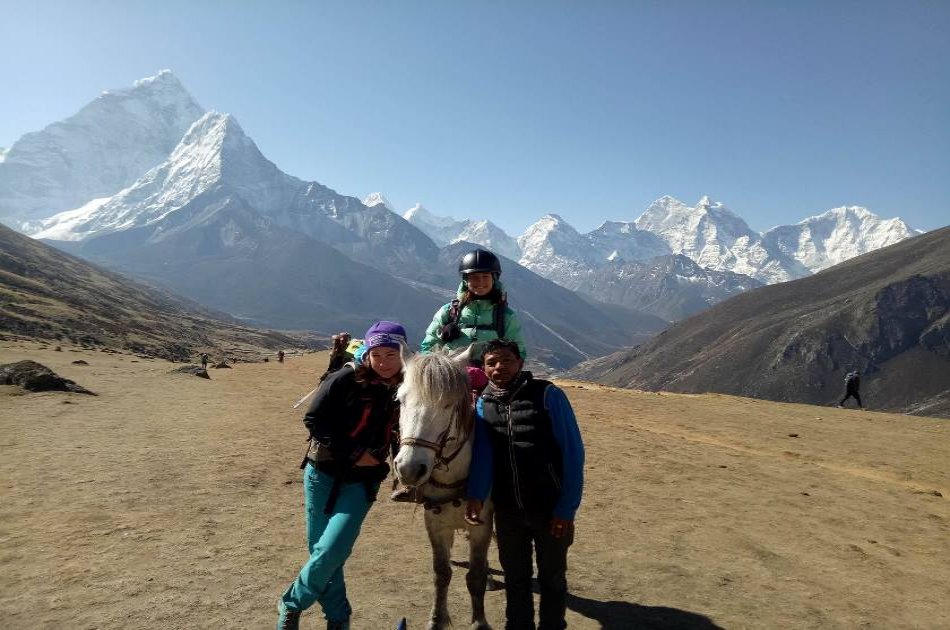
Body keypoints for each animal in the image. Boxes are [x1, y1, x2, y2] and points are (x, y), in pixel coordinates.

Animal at [396, 354, 498, 630]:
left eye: (448, 405)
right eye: (400, 400)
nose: (409, 468)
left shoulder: (482, 526)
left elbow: (476, 576)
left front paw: (479, 622)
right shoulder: (435, 524)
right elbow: (441, 574)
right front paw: (436, 620)